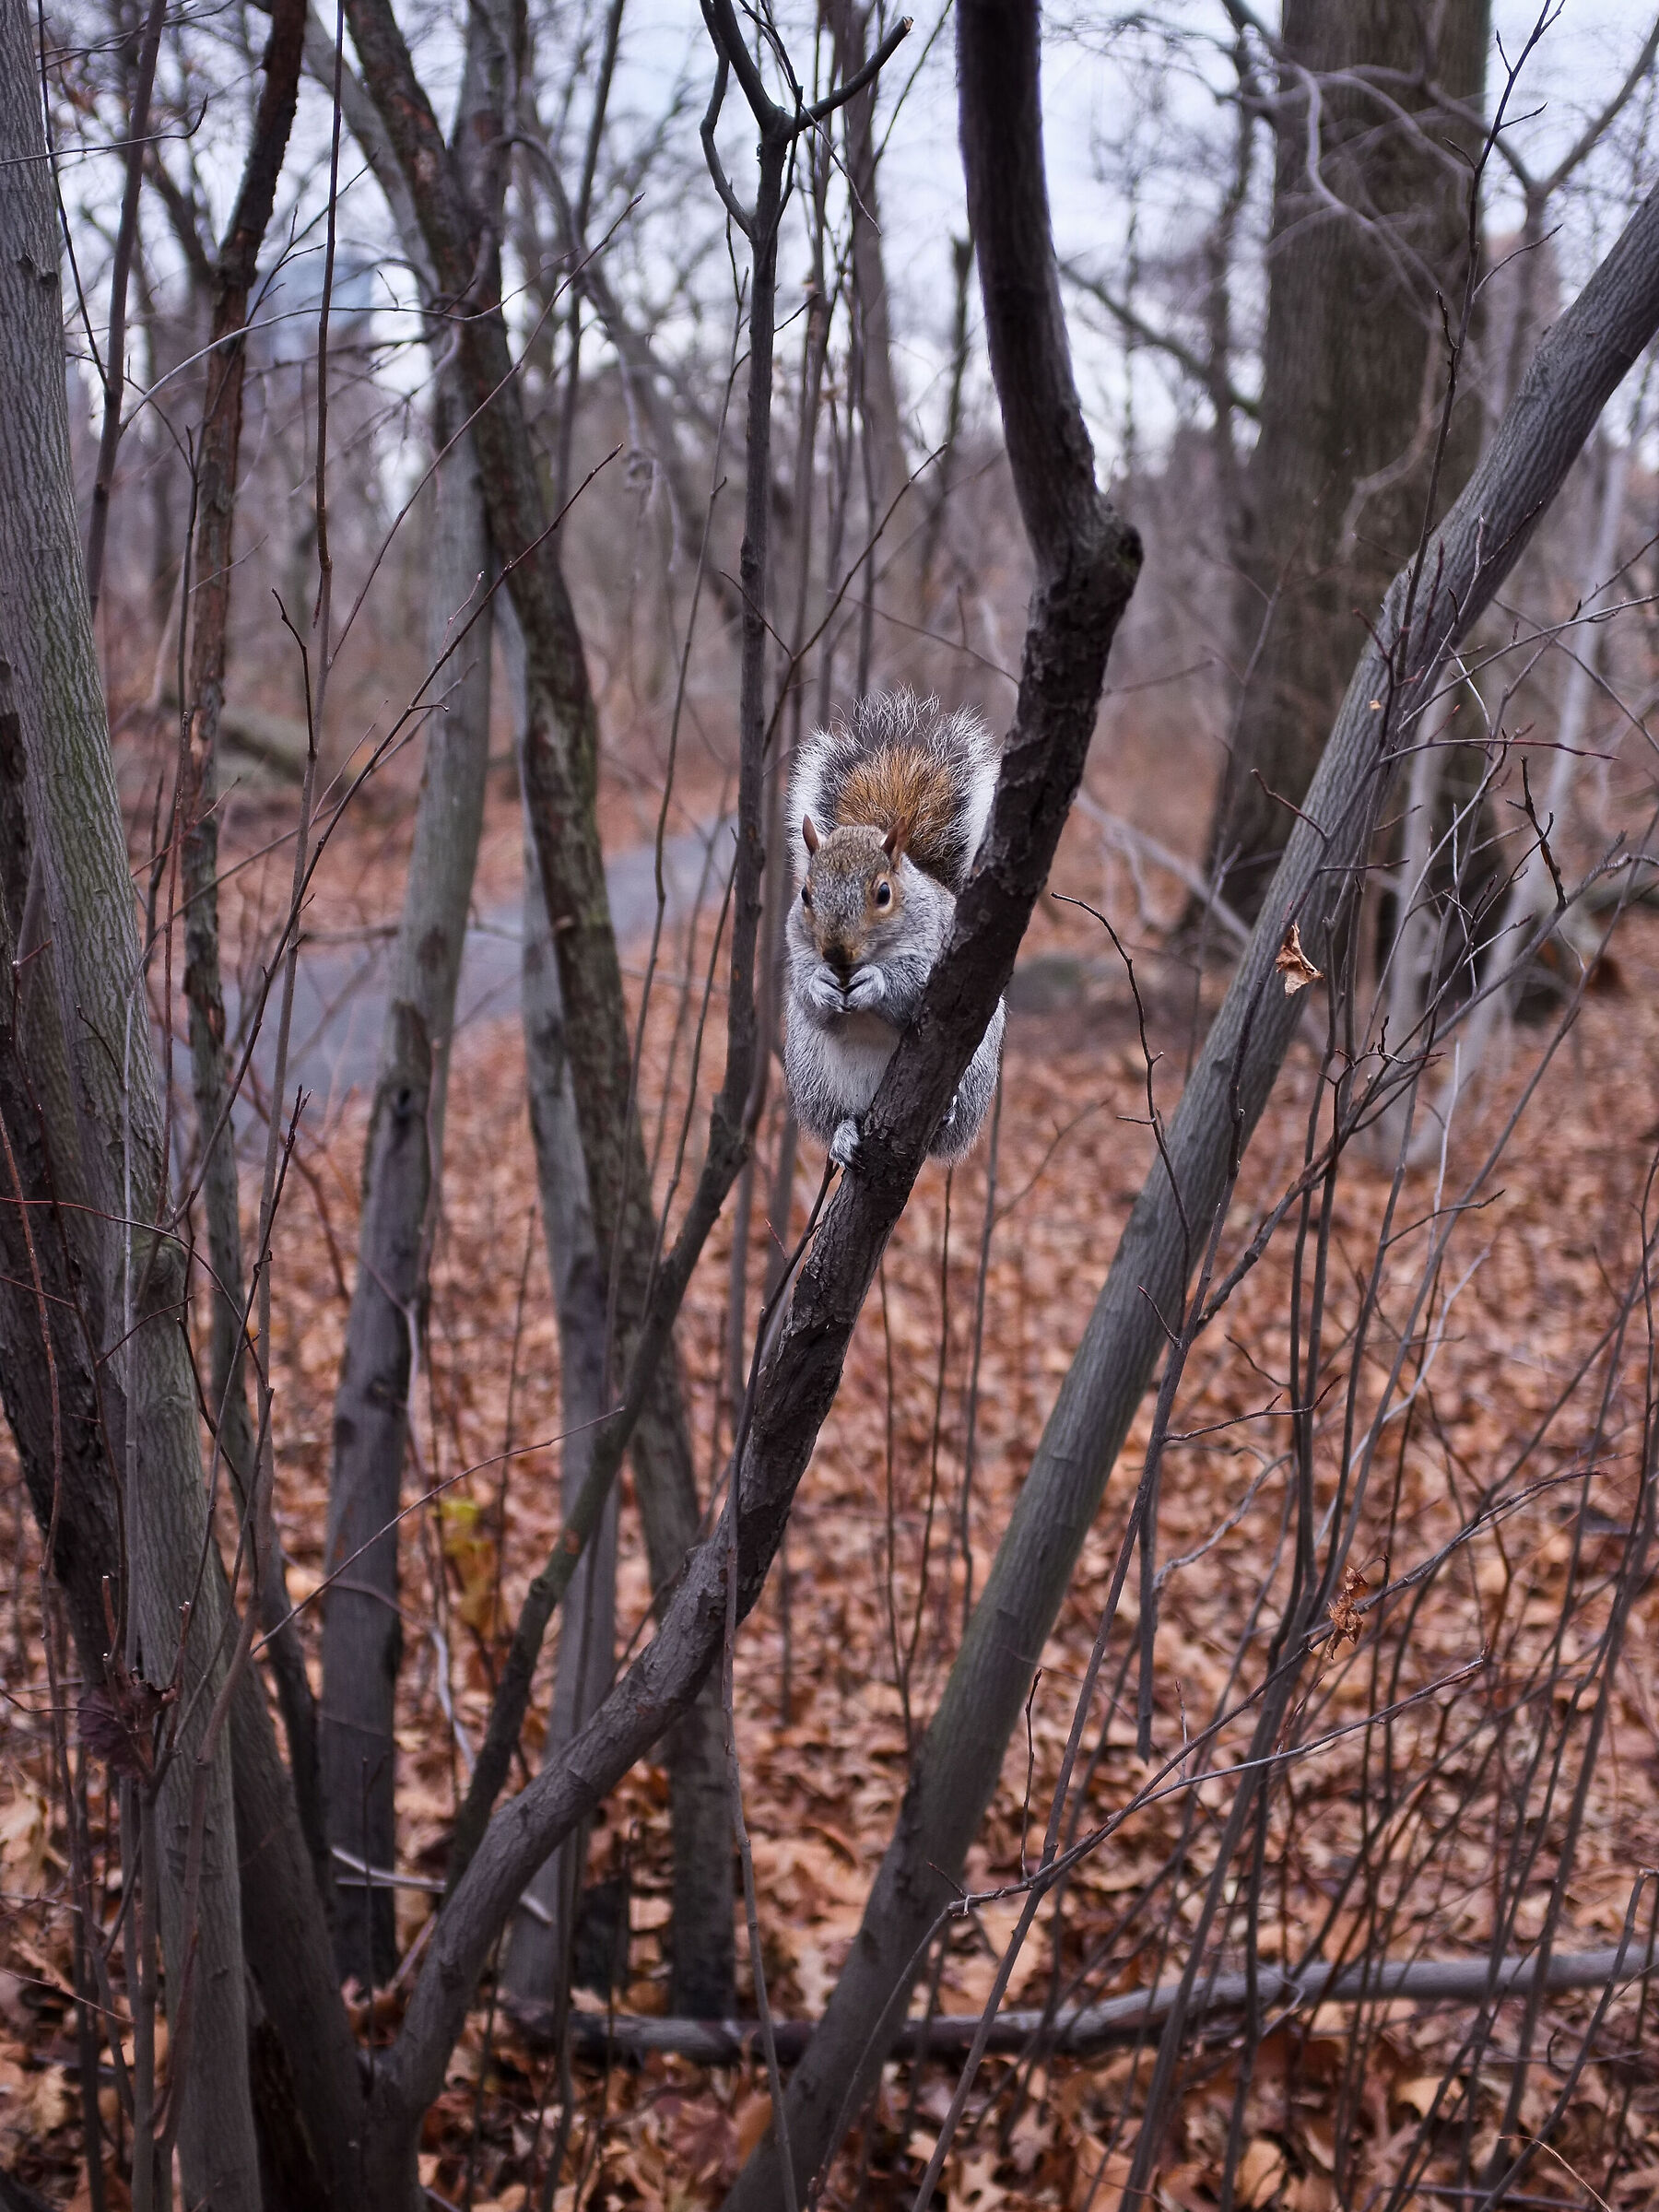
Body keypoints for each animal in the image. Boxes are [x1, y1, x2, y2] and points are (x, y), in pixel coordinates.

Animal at [784, 689, 1005, 1169]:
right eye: (806, 894)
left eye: (884, 893)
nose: (836, 954)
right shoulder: (797, 951)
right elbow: (809, 999)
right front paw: (820, 986)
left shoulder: (943, 952)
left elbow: (916, 989)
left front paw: (878, 983)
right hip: (814, 1077)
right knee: (835, 1115)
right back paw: (844, 1133)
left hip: (975, 1073)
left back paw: (947, 1113)